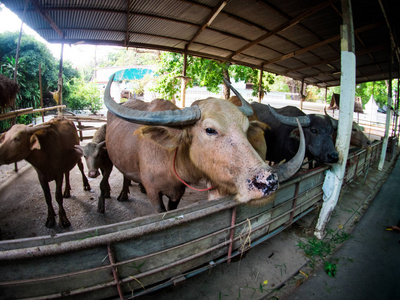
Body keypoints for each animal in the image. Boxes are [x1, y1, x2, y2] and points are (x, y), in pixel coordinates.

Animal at [104, 75, 304, 212]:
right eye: (210, 130)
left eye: (245, 129)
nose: (269, 181)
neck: (169, 158)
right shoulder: (155, 193)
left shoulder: (178, 192)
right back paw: (123, 194)